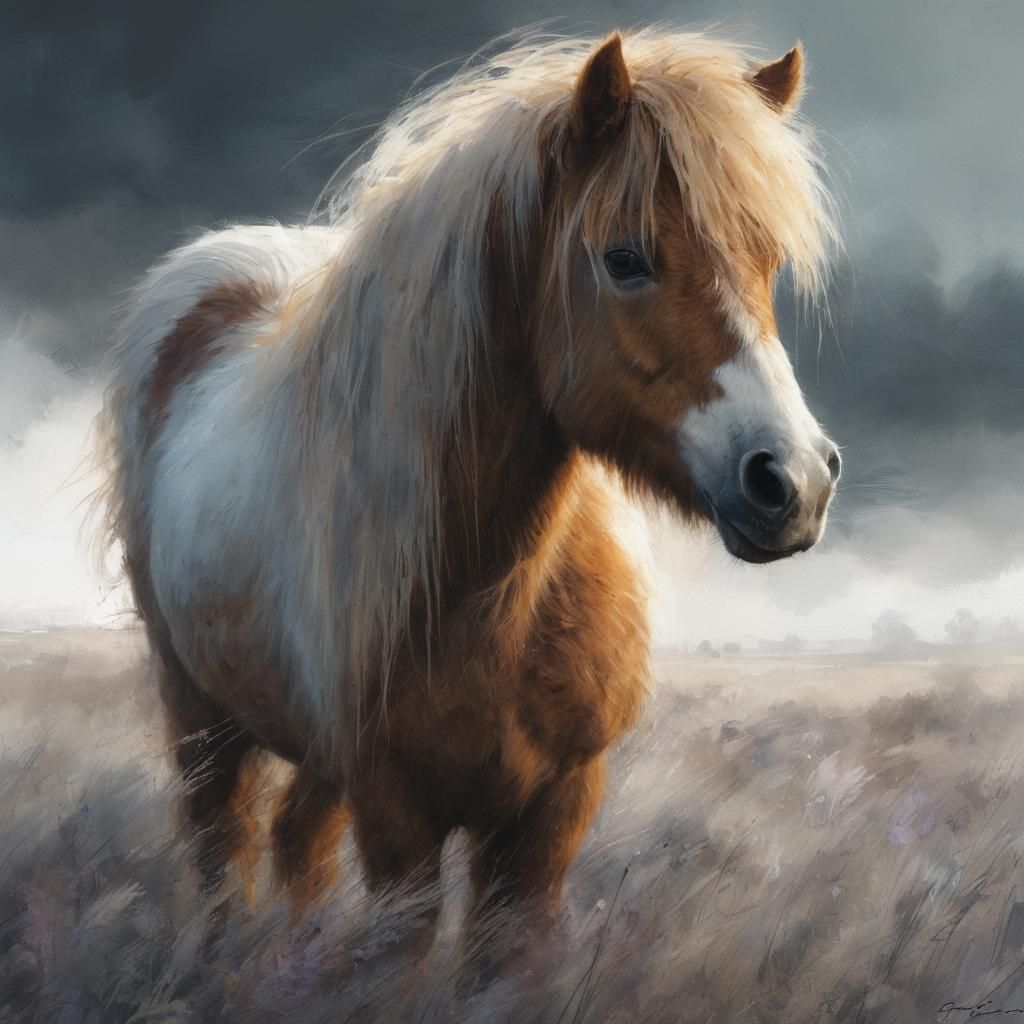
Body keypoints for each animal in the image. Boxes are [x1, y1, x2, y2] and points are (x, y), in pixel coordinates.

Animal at [99, 29, 841, 941]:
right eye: (625, 259)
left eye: (766, 263)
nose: (795, 481)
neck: (492, 597)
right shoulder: (397, 819)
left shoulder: (552, 814)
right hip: (200, 718)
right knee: (222, 859)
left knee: (296, 843)